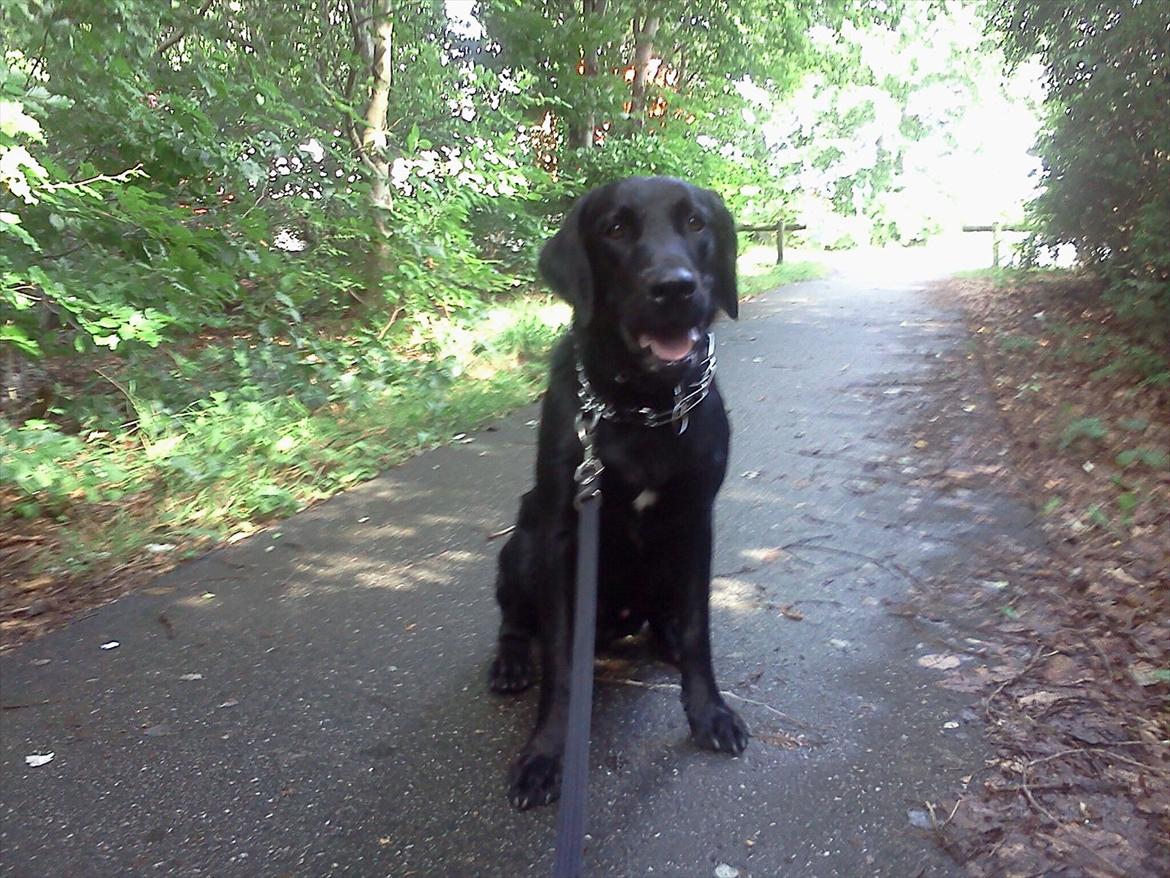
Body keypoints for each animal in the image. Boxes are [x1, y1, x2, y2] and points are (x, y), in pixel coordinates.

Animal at [486, 173, 744, 810]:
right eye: (616, 229)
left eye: (696, 223)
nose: (674, 287)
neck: (641, 409)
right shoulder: (561, 535)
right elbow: (560, 663)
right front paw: (545, 755)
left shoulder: (697, 520)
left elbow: (700, 629)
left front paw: (709, 712)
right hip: (520, 543)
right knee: (516, 621)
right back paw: (510, 661)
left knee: (666, 616)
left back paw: (665, 636)